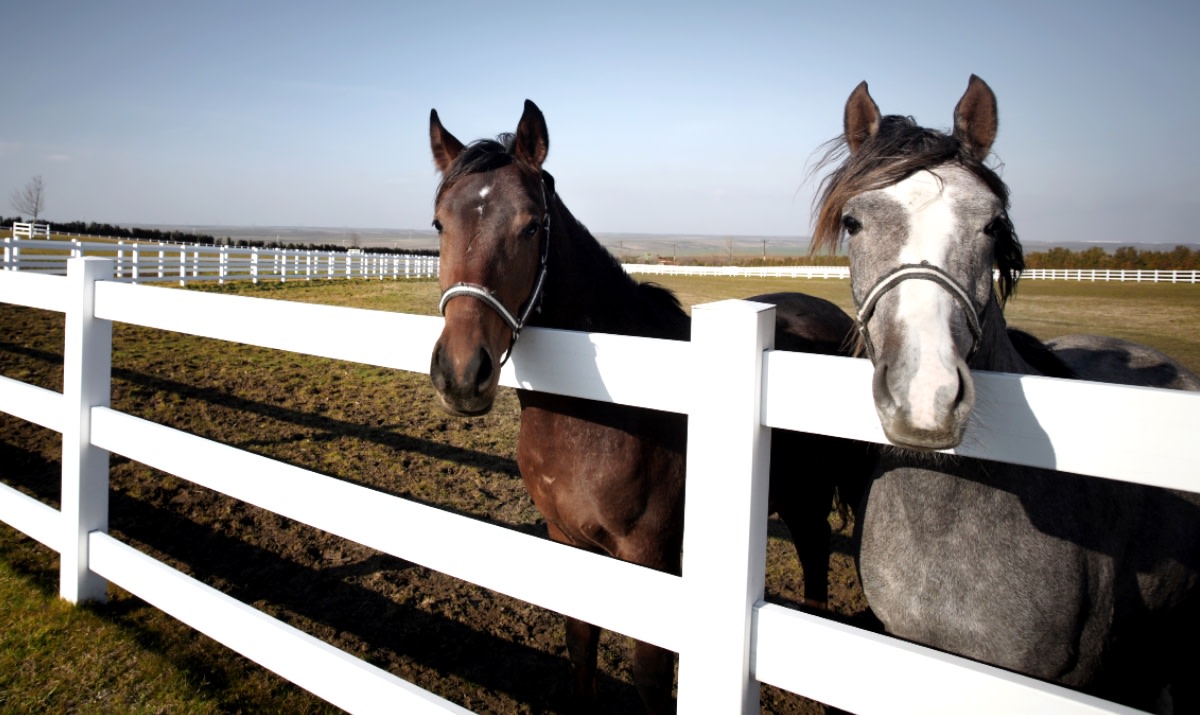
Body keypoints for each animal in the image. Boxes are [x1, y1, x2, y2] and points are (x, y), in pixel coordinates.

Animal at [428, 99, 874, 712]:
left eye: (531, 225)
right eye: (439, 224)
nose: (461, 373)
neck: (597, 414)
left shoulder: (653, 555)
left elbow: (651, 675)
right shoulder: (568, 539)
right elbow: (581, 645)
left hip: (807, 503)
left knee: (817, 582)